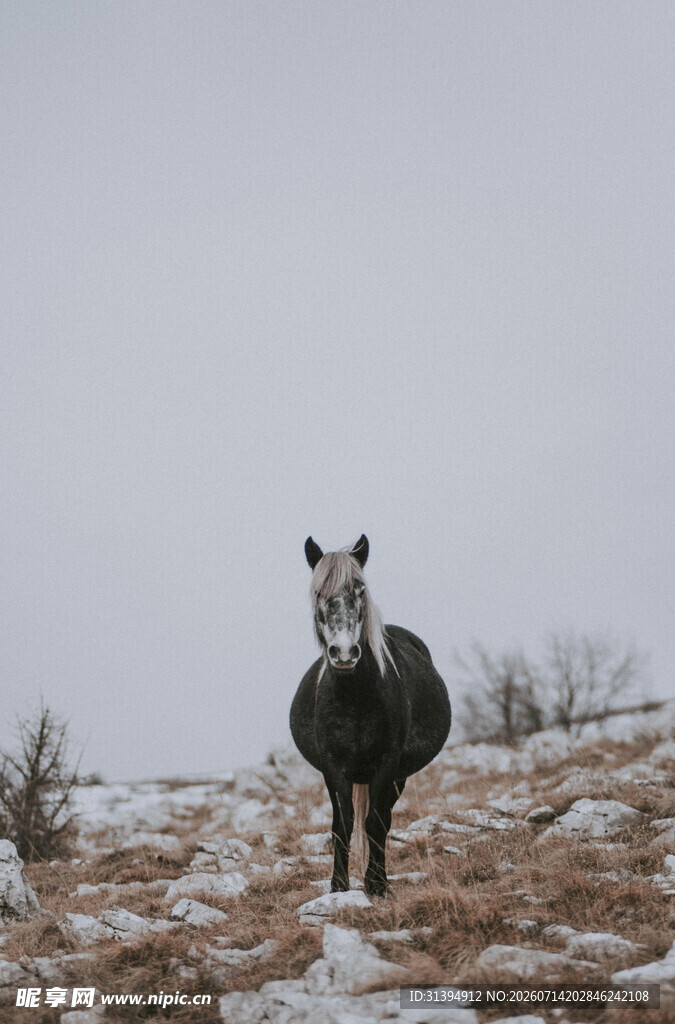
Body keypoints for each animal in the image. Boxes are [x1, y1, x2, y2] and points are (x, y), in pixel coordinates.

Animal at [290, 534, 451, 897]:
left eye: (360, 590)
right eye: (318, 593)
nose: (344, 653)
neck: (356, 697)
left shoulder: (387, 762)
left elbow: (375, 822)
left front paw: (376, 886)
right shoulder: (334, 766)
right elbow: (343, 824)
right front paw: (338, 887)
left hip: (398, 776)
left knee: (384, 819)